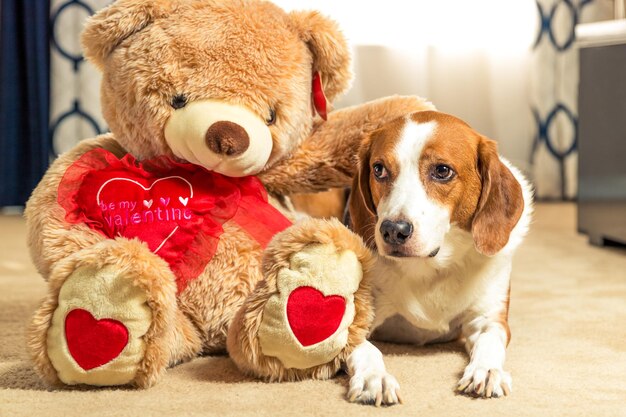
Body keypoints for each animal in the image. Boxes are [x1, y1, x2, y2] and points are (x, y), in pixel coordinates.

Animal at [344, 109, 528, 404]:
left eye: (442, 171)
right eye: (379, 169)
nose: (393, 230)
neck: (432, 267)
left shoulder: (489, 319)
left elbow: (490, 342)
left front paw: (487, 371)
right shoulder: (351, 323)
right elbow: (367, 349)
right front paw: (375, 377)